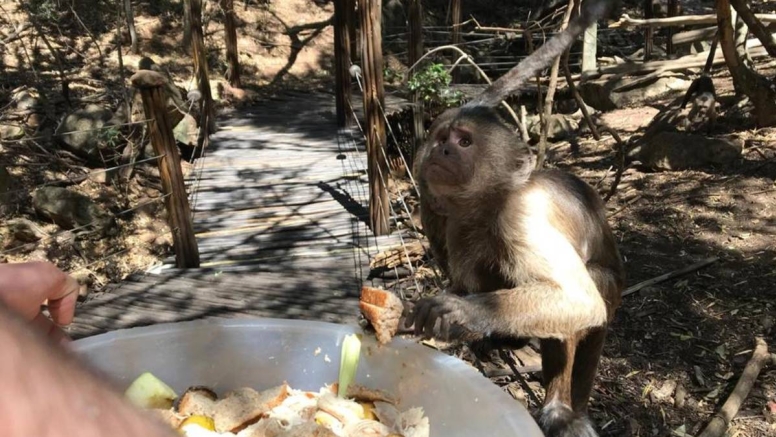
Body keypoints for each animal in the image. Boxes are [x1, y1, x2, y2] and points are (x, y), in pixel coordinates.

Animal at [403, 1, 625, 436]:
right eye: (443, 139)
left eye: (464, 142)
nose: (442, 151)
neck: (489, 202)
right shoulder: (444, 210)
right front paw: (449, 314)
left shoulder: (520, 217)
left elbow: (580, 300)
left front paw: (463, 312)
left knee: (590, 293)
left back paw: (563, 409)